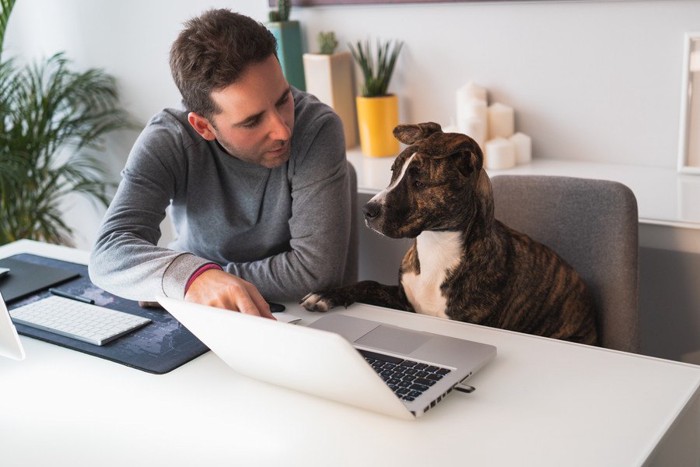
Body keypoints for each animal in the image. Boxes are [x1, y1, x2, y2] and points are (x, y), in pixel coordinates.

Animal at [300, 122, 596, 346]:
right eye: (393, 172)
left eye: (419, 183)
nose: (367, 210)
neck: (436, 245)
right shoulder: (403, 300)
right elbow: (368, 283)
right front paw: (327, 295)